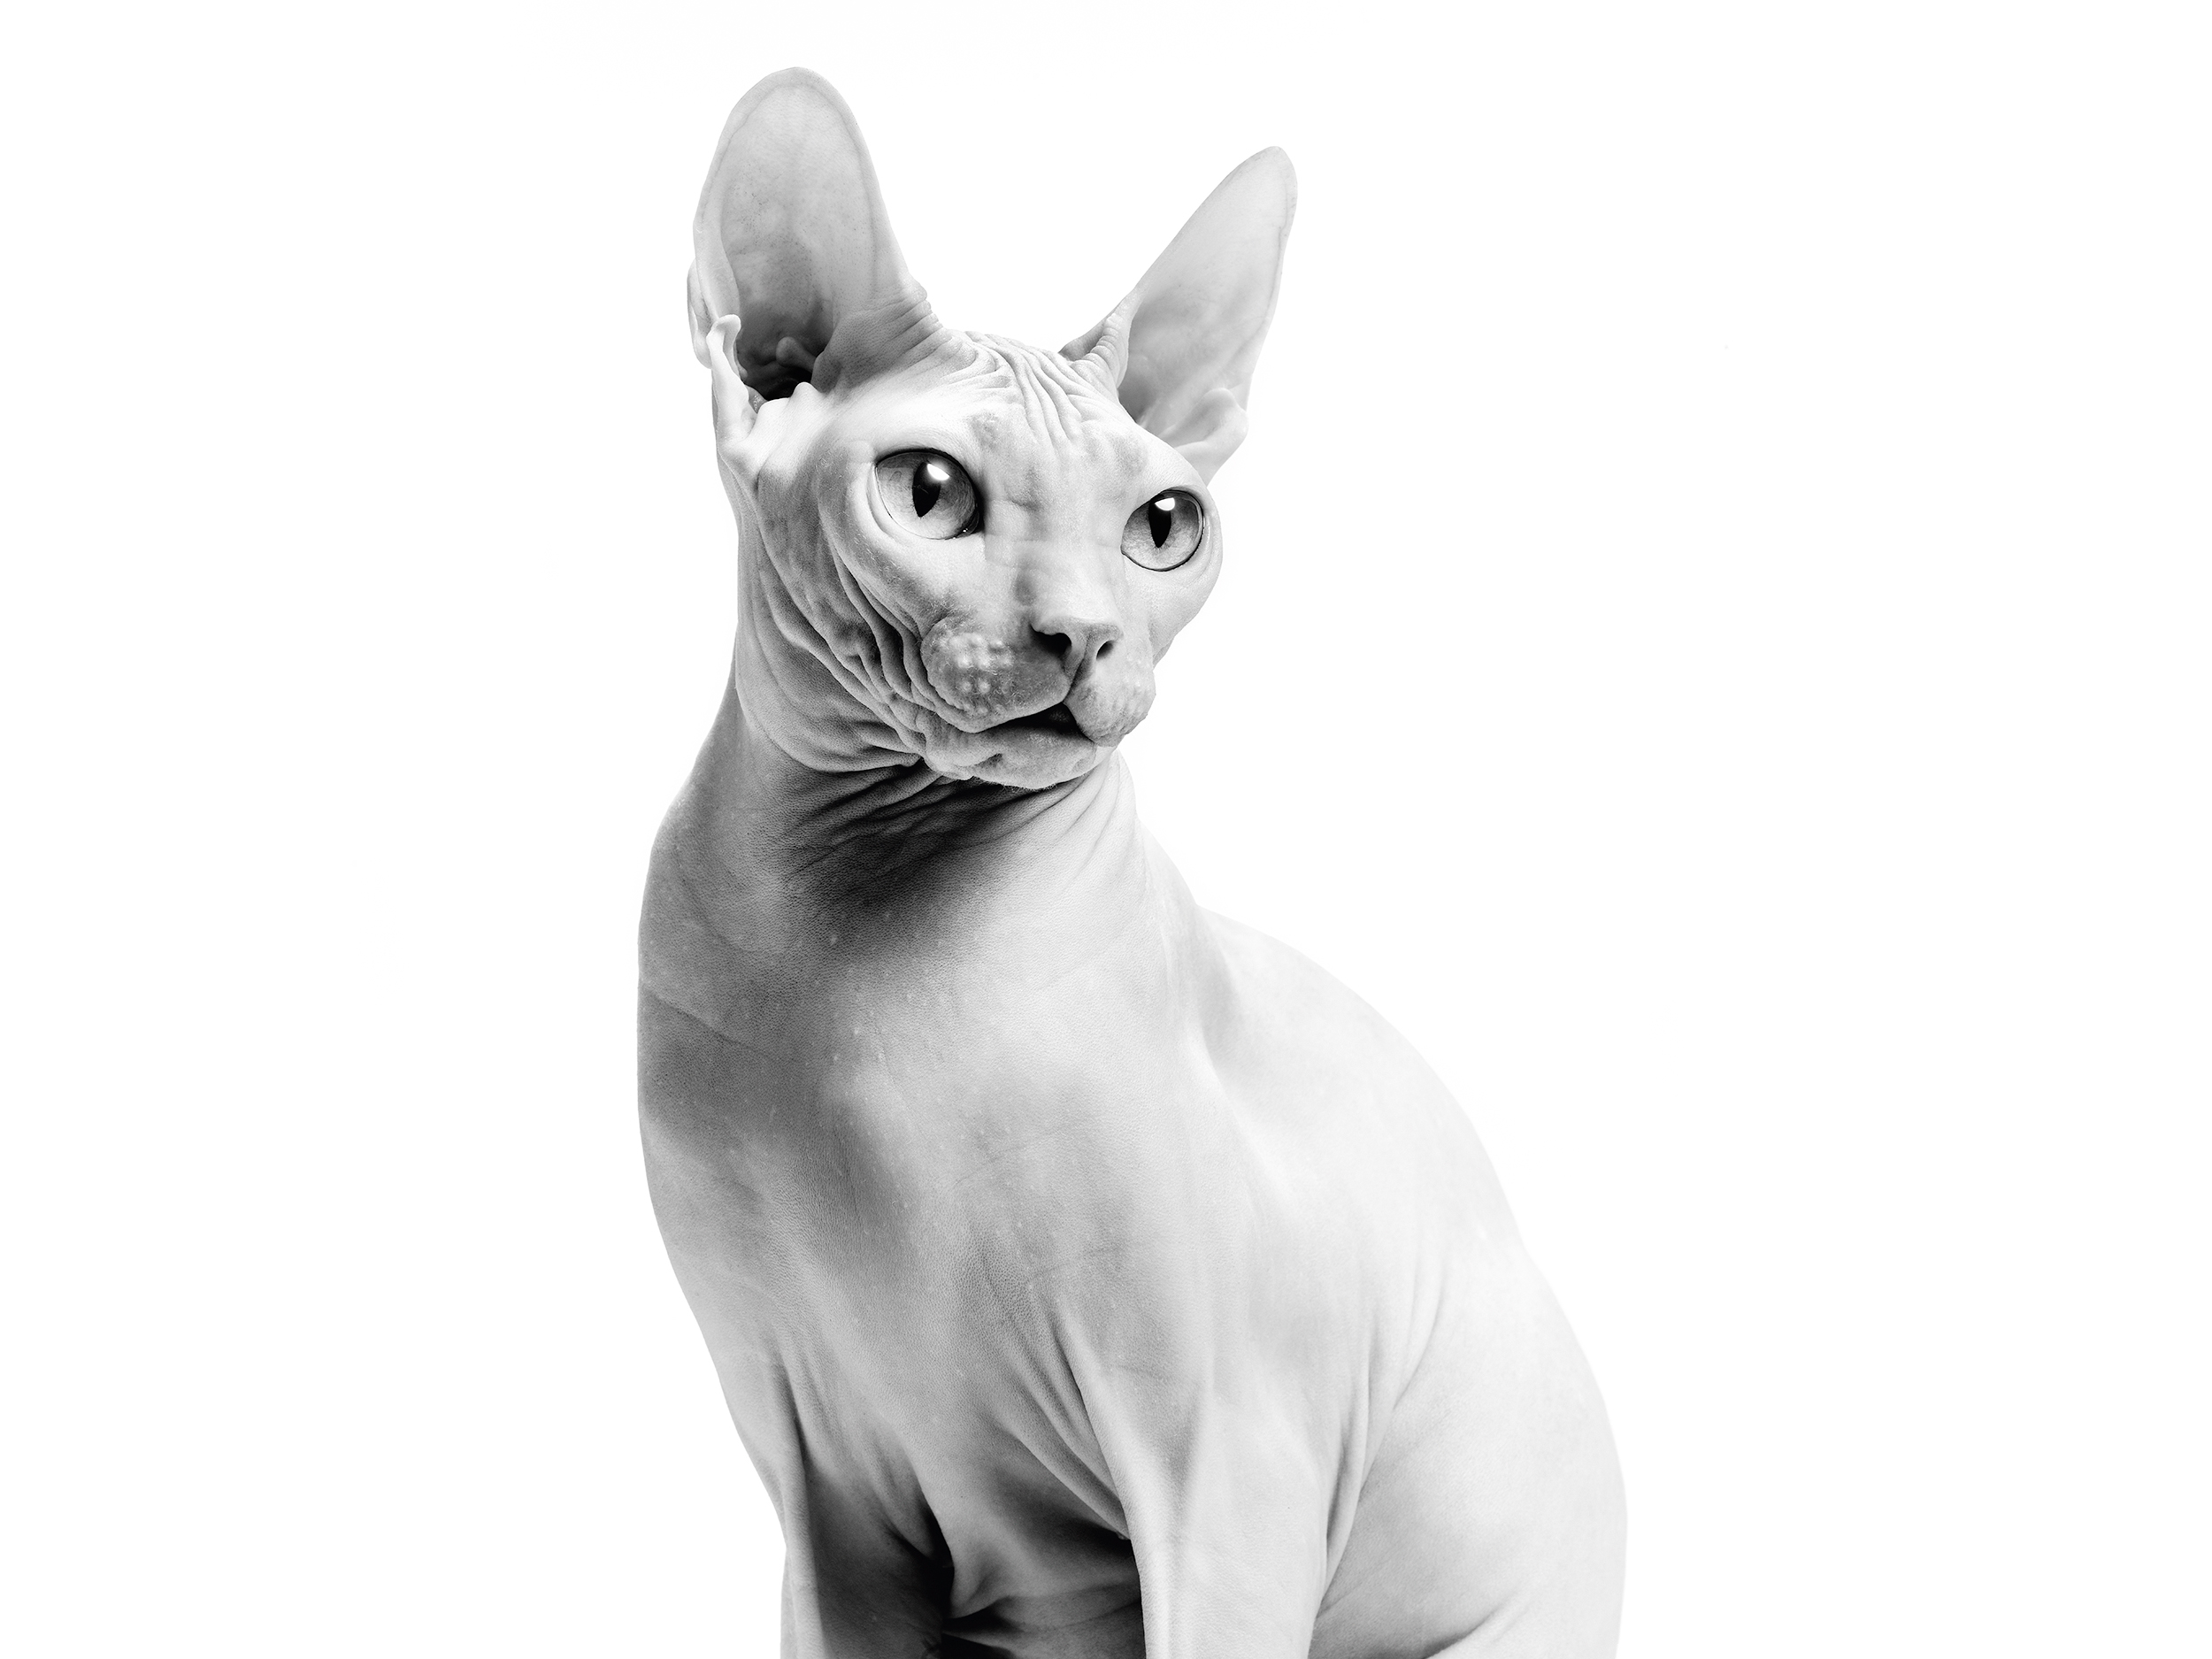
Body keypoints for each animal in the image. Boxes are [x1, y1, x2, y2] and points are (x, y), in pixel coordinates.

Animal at [641, 68, 1628, 1659]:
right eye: (929, 494)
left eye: (1166, 527)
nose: (1088, 636)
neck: (848, 953)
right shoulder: (823, 1492)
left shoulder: (1232, 1460)